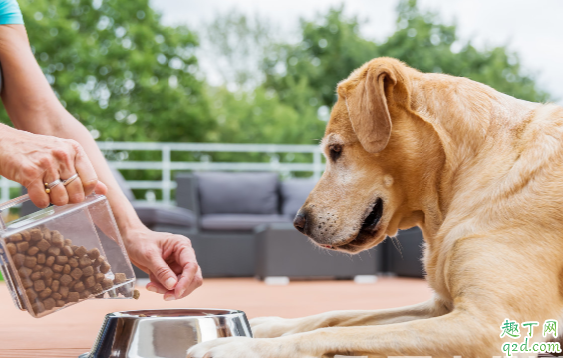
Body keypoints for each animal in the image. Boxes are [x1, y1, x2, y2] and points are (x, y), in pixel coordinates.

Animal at [187, 57, 563, 356]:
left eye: (335, 150)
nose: (298, 223)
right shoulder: (443, 305)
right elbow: (335, 317)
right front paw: (266, 325)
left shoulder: (488, 323)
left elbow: (337, 332)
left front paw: (239, 345)